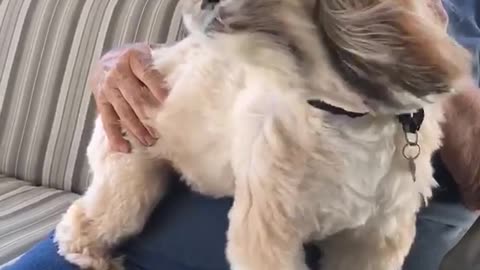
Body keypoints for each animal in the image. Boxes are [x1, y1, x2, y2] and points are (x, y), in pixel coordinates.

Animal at [55, 0, 468, 270]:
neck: (340, 117)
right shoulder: (269, 233)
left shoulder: (373, 237)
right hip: (129, 182)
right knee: (84, 220)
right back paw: (92, 257)